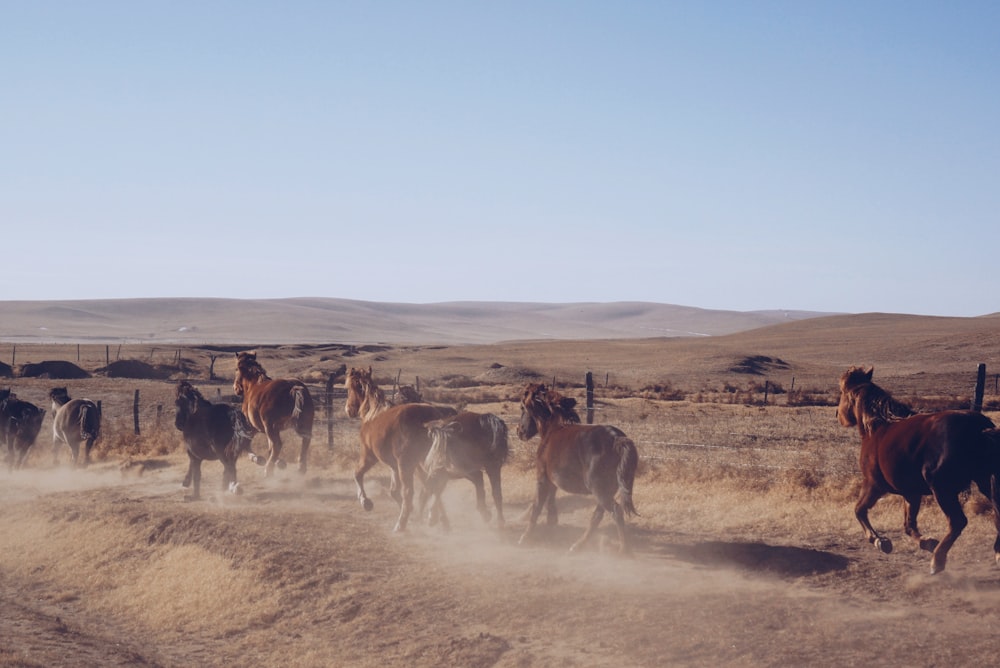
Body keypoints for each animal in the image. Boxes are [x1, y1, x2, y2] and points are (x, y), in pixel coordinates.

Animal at [342, 366, 456, 532]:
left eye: (349, 388)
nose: (348, 410)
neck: (373, 413)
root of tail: (428, 421)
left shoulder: (369, 456)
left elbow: (357, 474)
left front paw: (366, 502)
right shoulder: (394, 467)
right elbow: (394, 492)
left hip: (407, 466)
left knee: (411, 492)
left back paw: (400, 525)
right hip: (424, 464)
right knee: (435, 485)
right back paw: (436, 519)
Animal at [520, 380, 636, 552]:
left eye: (522, 407)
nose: (519, 431)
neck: (552, 430)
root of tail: (617, 439)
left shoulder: (542, 478)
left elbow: (537, 505)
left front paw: (525, 537)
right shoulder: (552, 481)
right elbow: (549, 501)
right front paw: (551, 523)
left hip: (599, 489)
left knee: (615, 512)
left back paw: (624, 550)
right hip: (608, 490)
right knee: (597, 516)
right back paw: (577, 545)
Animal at [836, 366, 1000, 576]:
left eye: (842, 392)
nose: (838, 416)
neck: (876, 428)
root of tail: (979, 428)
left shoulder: (874, 485)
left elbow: (859, 510)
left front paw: (880, 541)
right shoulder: (910, 493)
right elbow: (908, 525)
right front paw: (927, 542)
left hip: (942, 489)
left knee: (957, 522)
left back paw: (937, 561)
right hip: (986, 483)